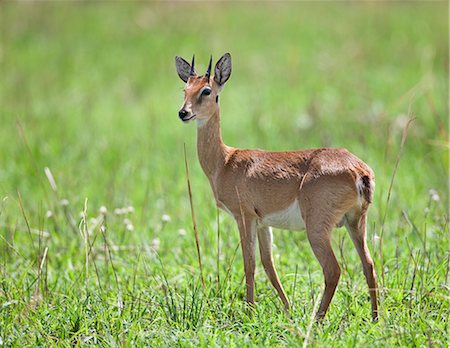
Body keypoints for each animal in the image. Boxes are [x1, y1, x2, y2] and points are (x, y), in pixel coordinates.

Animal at [174, 52, 378, 320]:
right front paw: (287, 309)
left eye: (207, 90)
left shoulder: (244, 217)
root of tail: (359, 170)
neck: (225, 162)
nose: (183, 113)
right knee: (369, 265)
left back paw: (317, 320)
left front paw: (249, 312)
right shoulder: (263, 223)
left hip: (317, 228)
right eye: (185, 88)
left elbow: (249, 264)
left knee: (333, 270)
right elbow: (268, 265)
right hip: (356, 223)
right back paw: (375, 319)